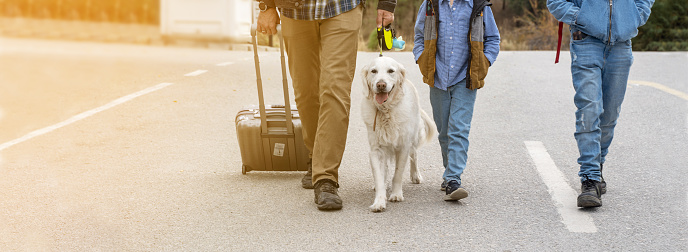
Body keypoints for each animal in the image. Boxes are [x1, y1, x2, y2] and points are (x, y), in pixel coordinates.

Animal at [360, 56, 436, 212]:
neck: (385, 110)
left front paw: (396, 195)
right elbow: (379, 176)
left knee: (414, 155)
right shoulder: (375, 150)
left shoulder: (403, 147)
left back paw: (416, 175)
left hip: (414, 136)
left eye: (391, 71)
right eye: (373, 71)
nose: (381, 85)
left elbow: (398, 173)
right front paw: (379, 201)